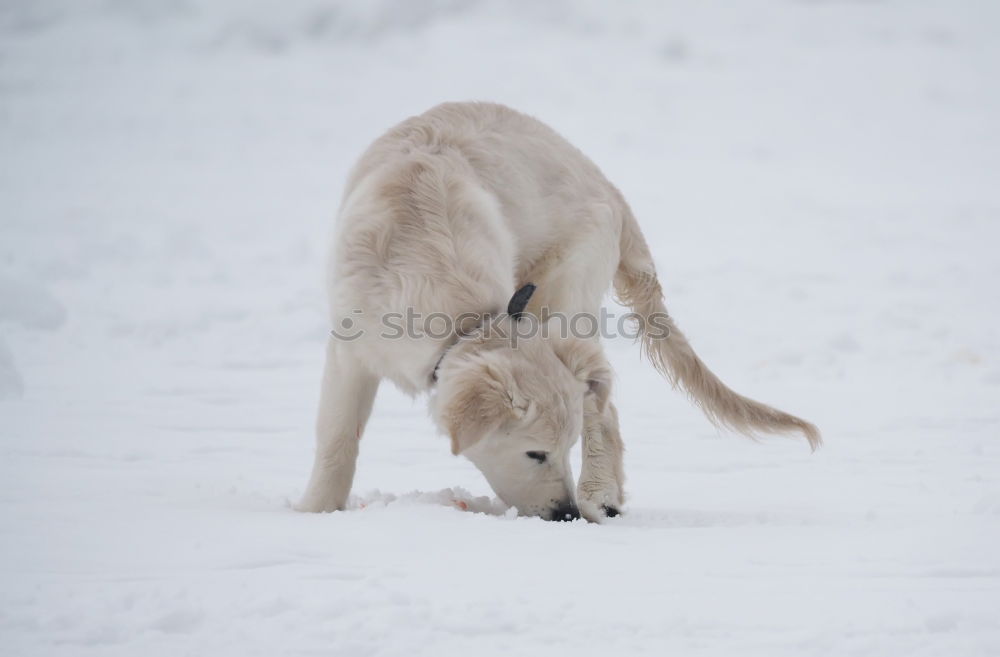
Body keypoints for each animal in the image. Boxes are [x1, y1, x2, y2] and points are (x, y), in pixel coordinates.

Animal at [298, 101, 820, 524]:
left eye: (561, 451)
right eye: (535, 454)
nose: (564, 513)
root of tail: (610, 189)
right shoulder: (350, 350)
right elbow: (338, 438)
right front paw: (316, 511)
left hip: (564, 295)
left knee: (600, 408)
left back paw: (599, 495)